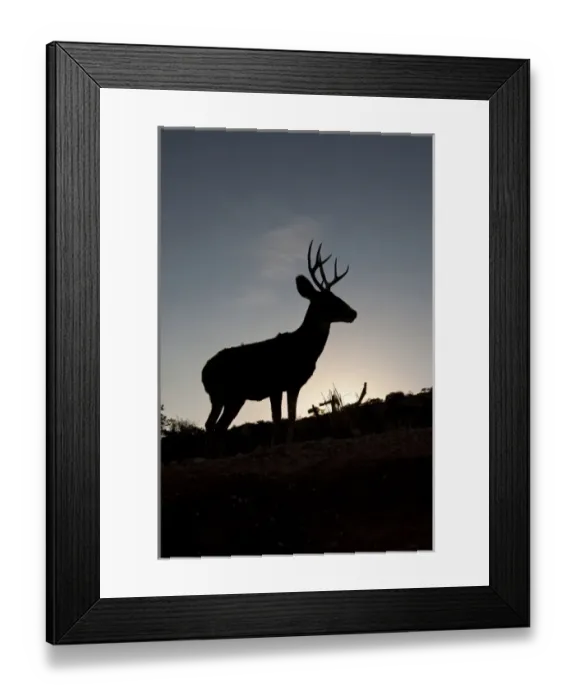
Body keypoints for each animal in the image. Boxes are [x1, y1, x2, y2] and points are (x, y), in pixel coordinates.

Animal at [201, 240, 357, 448]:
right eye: (329, 300)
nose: (353, 313)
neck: (302, 347)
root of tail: (203, 372)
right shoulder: (275, 385)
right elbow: (277, 418)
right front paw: (276, 445)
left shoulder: (293, 384)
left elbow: (291, 417)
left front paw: (287, 443)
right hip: (225, 394)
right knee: (214, 425)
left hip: (230, 398)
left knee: (215, 425)